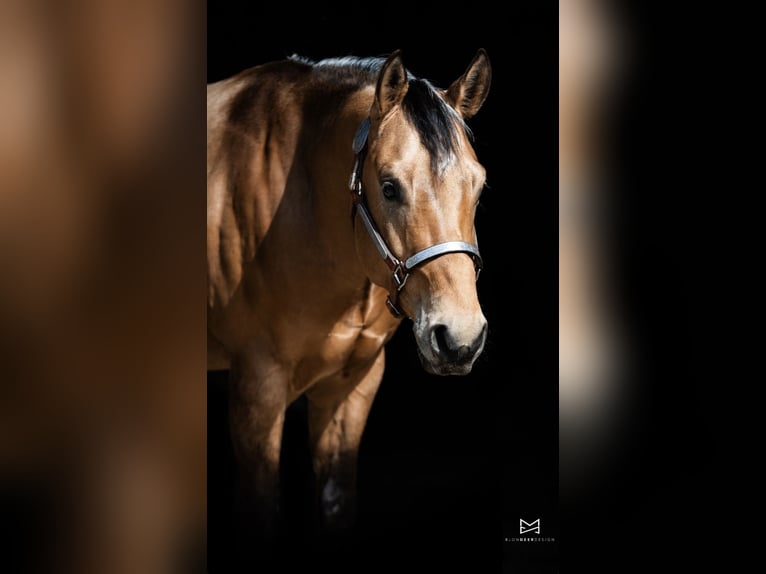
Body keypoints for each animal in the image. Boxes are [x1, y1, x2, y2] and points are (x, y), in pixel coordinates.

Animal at [206, 48, 492, 544]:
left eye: (477, 187)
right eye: (389, 187)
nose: (460, 340)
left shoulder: (352, 385)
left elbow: (337, 502)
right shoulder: (256, 388)